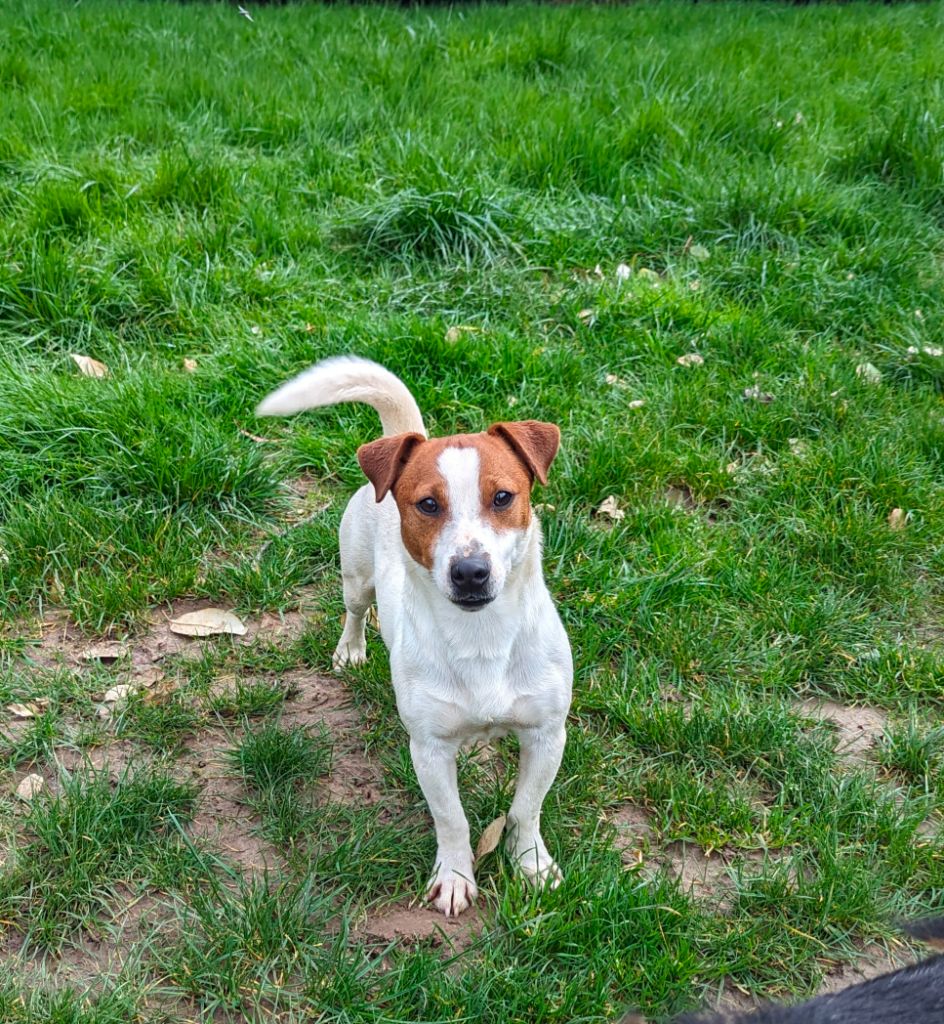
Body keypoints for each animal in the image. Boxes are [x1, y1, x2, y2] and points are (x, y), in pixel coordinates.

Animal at [253, 356, 569, 917]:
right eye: (426, 505)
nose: (470, 572)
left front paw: (531, 864)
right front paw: (455, 876)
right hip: (356, 577)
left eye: (503, 497)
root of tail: (405, 431)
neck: (481, 637)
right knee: (355, 611)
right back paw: (351, 650)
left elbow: (524, 810)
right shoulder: (428, 748)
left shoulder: (547, 734)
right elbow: (452, 819)